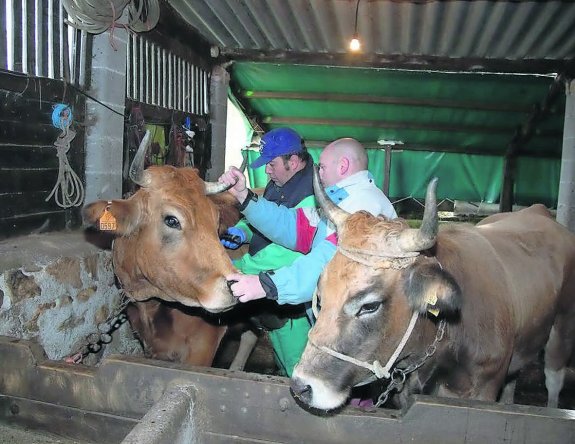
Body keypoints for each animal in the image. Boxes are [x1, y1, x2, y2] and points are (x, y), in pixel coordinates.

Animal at [292, 173, 575, 412]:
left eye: (370, 306)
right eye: (321, 295)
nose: (301, 386)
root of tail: (539, 211)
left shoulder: (482, 390)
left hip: (561, 329)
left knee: (554, 378)